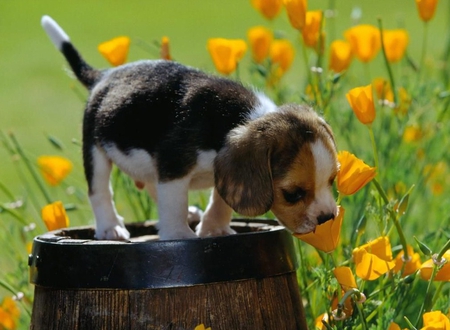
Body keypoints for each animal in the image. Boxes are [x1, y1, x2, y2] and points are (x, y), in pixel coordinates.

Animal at [42, 15, 338, 241]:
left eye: (332, 180)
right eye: (292, 194)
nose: (327, 218)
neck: (241, 118)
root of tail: (103, 76)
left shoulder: (222, 171)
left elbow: (220, 200)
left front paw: (214, 228)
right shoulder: (174, 167)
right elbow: (174, 203)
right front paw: (179, 235)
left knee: (152, 185)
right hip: (95, 149)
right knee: (100, 191)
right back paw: (110, 228)